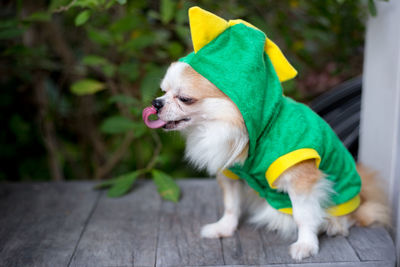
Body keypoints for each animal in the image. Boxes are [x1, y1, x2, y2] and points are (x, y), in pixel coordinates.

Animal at [141, 6, 390, 262]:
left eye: (184, 99)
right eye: (163, 91)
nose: (156, 103)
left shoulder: (301, 178)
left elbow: (304, 215)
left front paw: (306, 245)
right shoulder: (231, 173)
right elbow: (231, 205)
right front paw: (224, 228)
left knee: (355, 216)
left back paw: (335, 224)